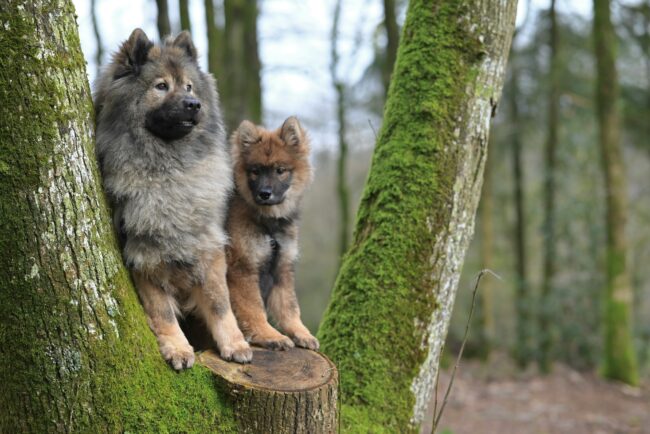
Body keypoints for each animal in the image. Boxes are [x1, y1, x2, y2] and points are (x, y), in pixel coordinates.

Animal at [225, 117, 318, 350]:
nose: (264, 194)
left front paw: (301, 332)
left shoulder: (282, 268)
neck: (268, 224)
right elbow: (254, 308)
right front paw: (268, 335)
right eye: (255, 170)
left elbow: (289, 307)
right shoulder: (243, 269)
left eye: (280, 170)